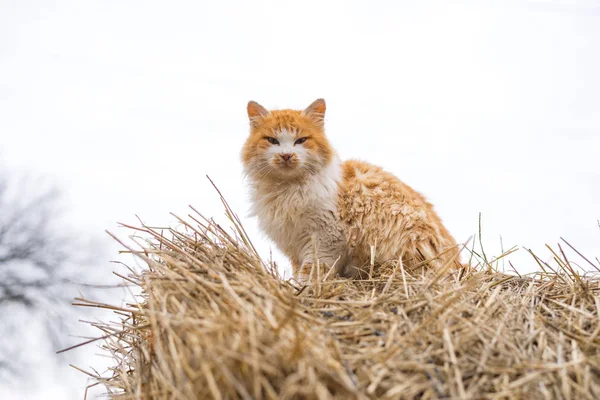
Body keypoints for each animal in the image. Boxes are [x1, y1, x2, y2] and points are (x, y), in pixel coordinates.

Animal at [241, 99, 458, 282]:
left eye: (301, 140)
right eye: (272, 140)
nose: (286, 155)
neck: (288, 190)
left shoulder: (326, 237)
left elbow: (312, 271)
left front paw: (308, 290)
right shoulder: (294, 245)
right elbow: (299, 271)